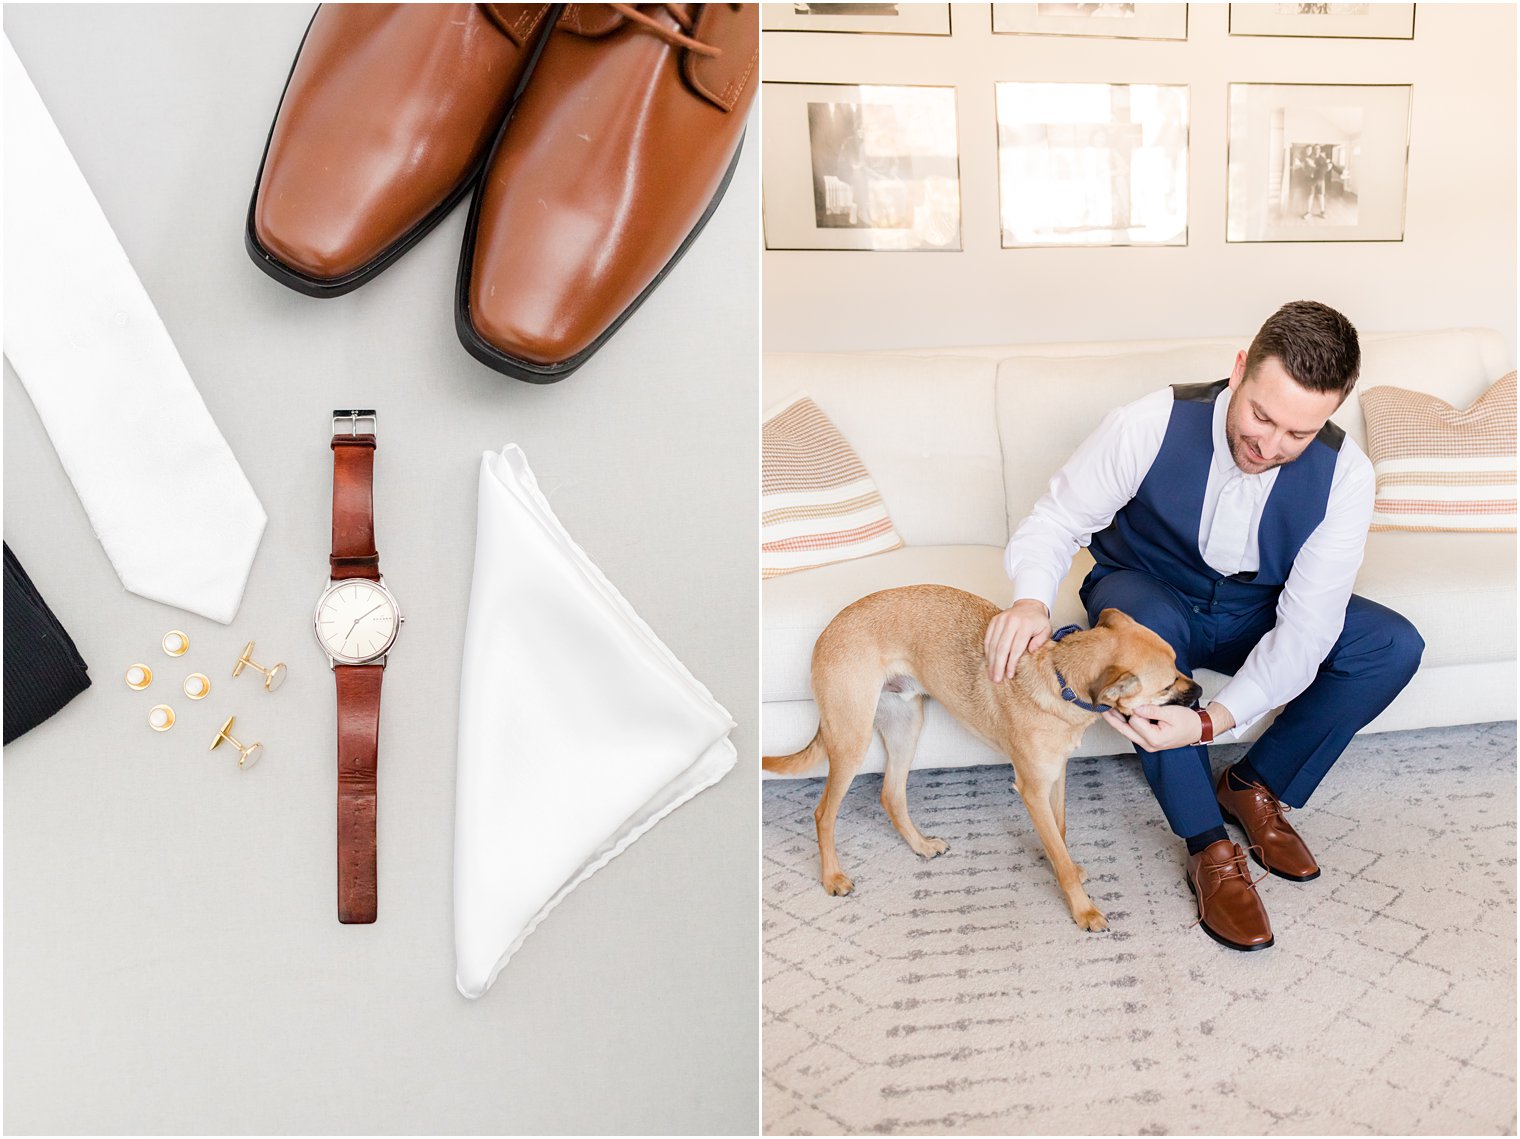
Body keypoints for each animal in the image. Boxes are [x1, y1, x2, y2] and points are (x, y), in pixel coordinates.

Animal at [766, 586, 1203, 930]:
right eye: (1168, 684)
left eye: (1179, 665)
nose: (1200, 690)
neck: (1058, 677)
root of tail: (828, 629)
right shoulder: (1031, 789)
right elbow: (1060, 856)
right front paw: (1083, 909)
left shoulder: (1056, 777)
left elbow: (1059, 833)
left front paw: (1061, 863)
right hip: (851, 740)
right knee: (823, 813)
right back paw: (832, 877)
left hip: (906, 725)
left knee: (891, 796)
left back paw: (920, 846)